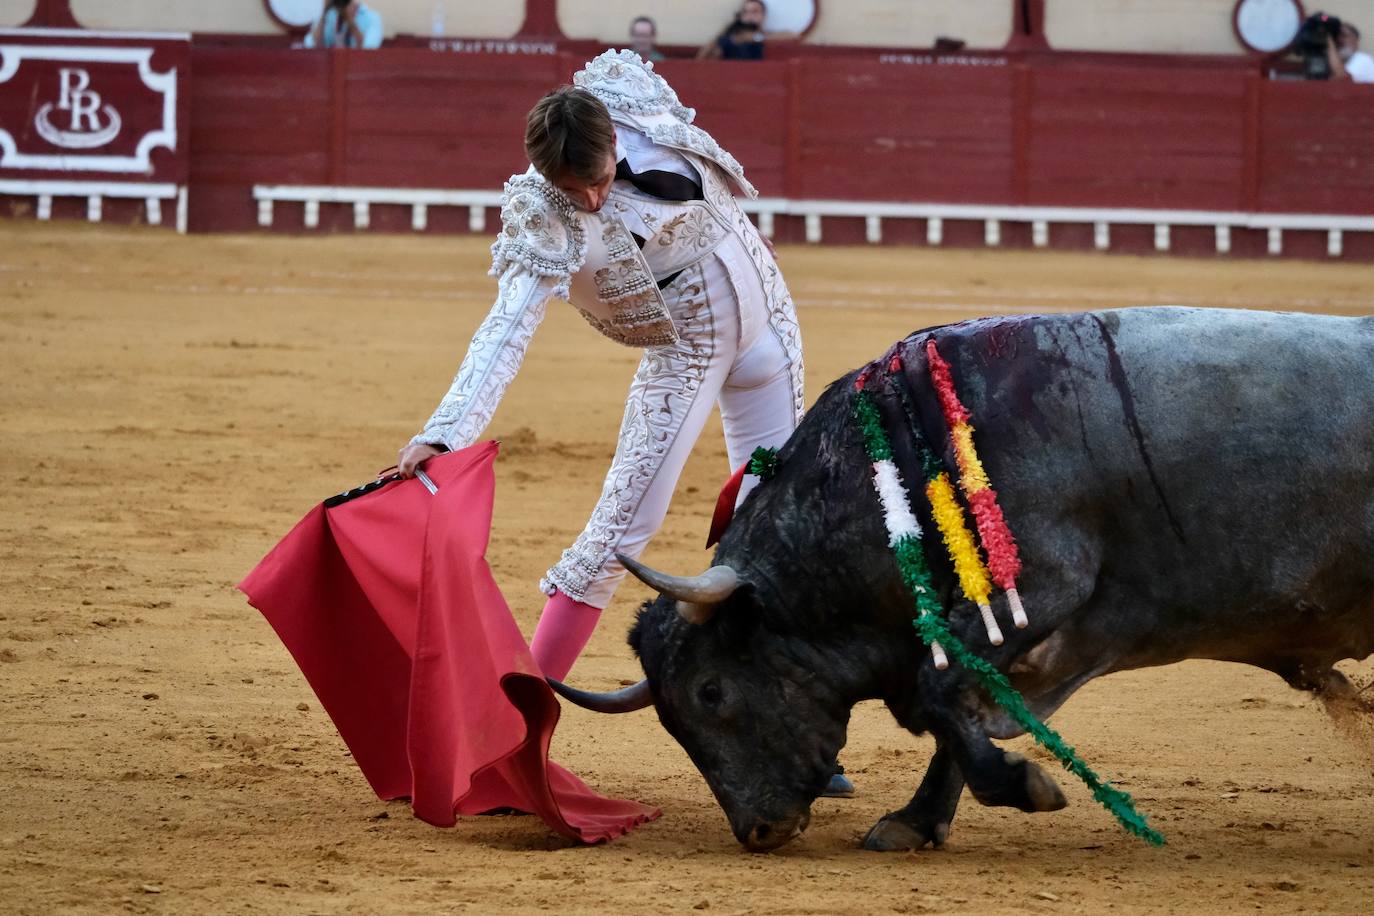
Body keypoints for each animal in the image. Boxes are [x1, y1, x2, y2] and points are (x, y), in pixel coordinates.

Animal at [549, 306, 1374, 851]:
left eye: (711, 692)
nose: (758, 829)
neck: (904, 463)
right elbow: (956, 704)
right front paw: (913, 824)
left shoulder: (1043, 589)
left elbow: (943, 694)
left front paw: (1024, 787)